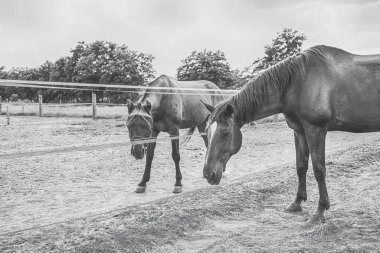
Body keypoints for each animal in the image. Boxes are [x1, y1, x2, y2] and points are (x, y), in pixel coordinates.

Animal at [202, 46, 380, 223]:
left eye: (225, 133)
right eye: (207, 133)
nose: (208, 174)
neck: (298, 82)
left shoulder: (315, 130)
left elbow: (319, 170)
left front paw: (320, 210)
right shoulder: (299, 132)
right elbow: (301, 166)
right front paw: (297, 203)